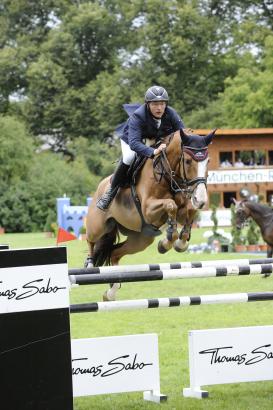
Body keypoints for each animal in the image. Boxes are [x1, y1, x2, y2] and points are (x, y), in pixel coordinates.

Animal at [85, 129, 215, 302]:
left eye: (208, 161)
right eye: (187, 161)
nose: (200, 200)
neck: (167, 174)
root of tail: (100, 186)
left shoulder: (182, 209)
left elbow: (189, 210)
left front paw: (178, 242)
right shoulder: (148, 209)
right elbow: (170, 205)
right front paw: (168, 239)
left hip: (141, 240)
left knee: (114, 253)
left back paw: (111, 293)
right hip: (98, 227)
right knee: (91, 241)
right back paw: (90, 264)